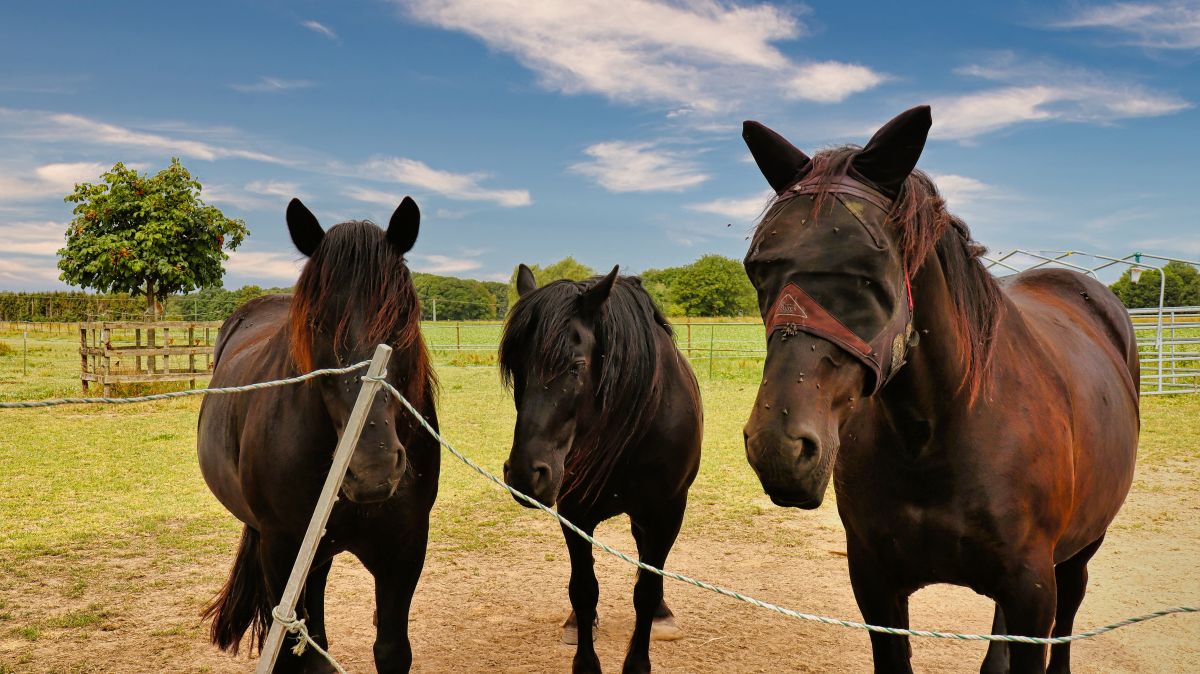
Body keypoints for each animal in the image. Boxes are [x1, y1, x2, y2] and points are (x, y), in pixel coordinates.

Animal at [196, 196, 441, 666]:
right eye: (315, 324)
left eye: (403, 317)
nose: (372, 469)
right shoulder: (283, 552)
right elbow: (308, 653)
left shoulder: (403, 553)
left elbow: (391, 650)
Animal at [496, 265, 700, 666]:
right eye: (516, 368)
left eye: (576, 367)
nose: (525, 475)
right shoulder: (574, 512)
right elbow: (583, 589)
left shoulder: (666, 511)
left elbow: (646, 590)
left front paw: (638, 660)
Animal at [734, 104, 1137, 666]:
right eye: (757, 268)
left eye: (870, 268)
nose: (779, 447)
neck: (936, 433)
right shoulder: (876, 587)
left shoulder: (1035, 594)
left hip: (1082, 547)